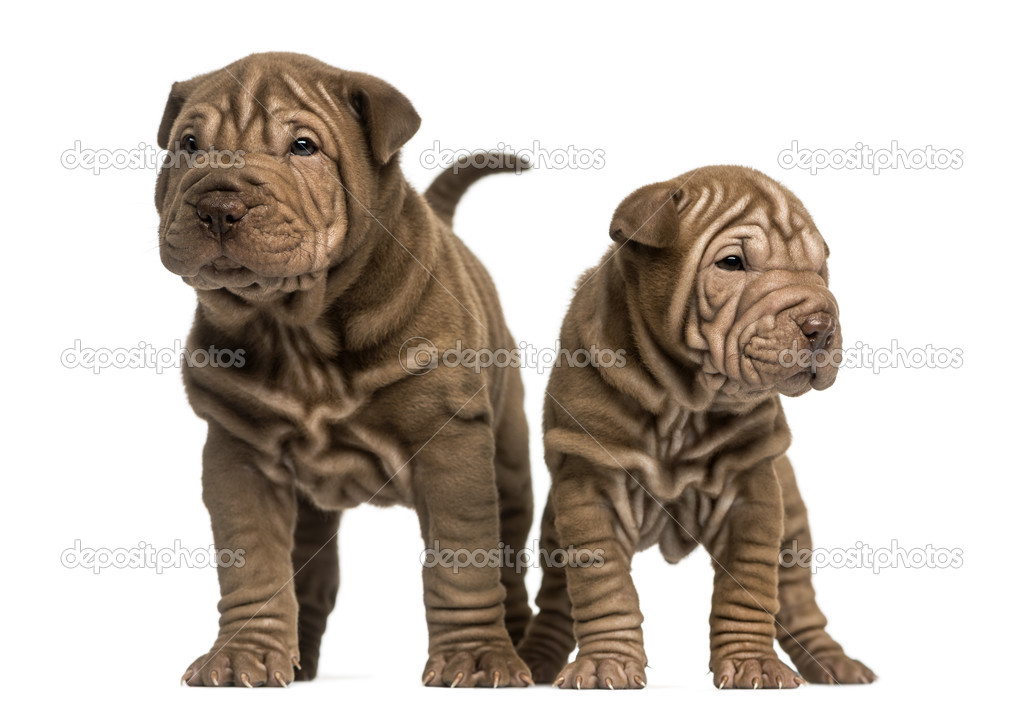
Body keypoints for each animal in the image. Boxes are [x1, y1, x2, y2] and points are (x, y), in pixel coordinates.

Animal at [155, 50, 536, 684]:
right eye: (188, 144)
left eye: (303, 147)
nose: (217, 207)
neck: (297, 328)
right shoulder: (238, 450)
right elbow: (252, 561)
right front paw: (243, 656)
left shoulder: (451, 445)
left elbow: (462, 560)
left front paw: (475, 658)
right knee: (312, 576)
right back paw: (300, 660)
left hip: (507, 456)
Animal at [516, 163, 876, 688]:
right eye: (732, 263)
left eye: (820, 270)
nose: (820, 324)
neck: (683, 402)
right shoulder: (591, 485)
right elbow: (603, 585)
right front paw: (606, 664)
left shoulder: (752, 487)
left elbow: (750, 584)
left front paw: (753, 663)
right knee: (557, 595)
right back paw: (536, 658)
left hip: (793, 522)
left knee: (797, 598)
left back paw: (835, 664)